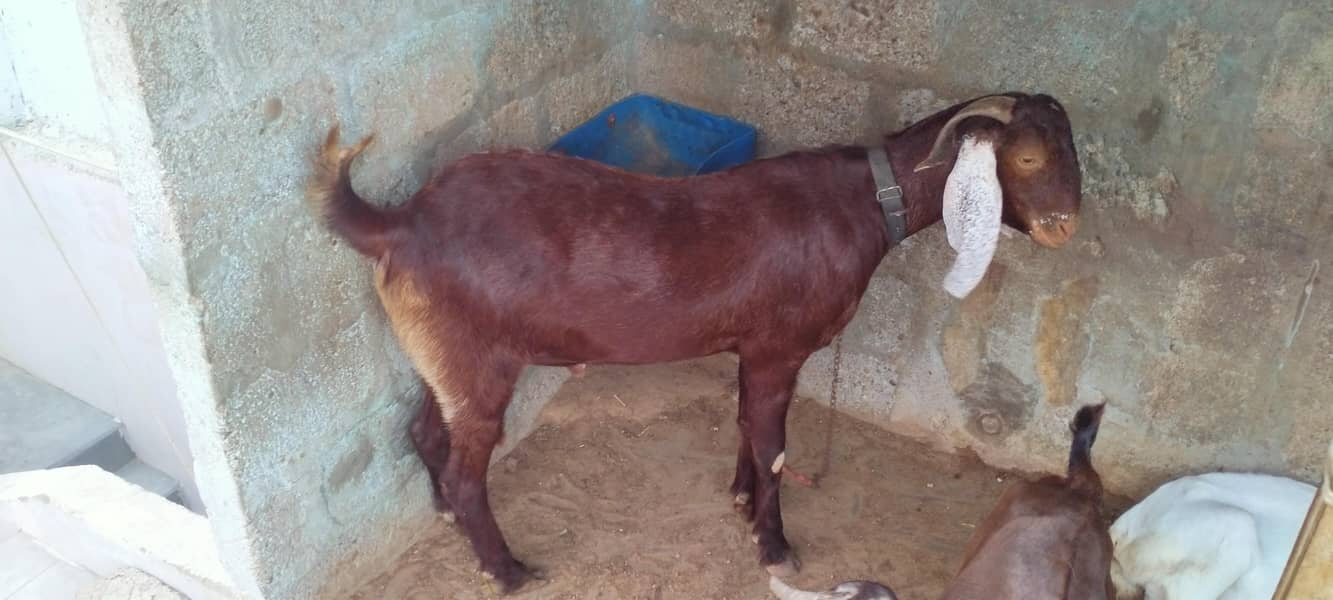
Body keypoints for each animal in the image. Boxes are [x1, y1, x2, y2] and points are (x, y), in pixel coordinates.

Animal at [306, 92, 1084, 593]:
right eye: (1024, 158)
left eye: (1072, 150)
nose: (1066, 228)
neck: (868, 203)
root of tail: (400, 223)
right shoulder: (779, 347)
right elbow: (773, 447)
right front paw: (774, 546)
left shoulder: (754, 350)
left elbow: (745, 425)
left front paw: (738, 499)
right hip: (480, 361)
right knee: (469, 468)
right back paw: (506, 569)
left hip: (444, 351)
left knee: (423, 428)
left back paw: (444, 514)